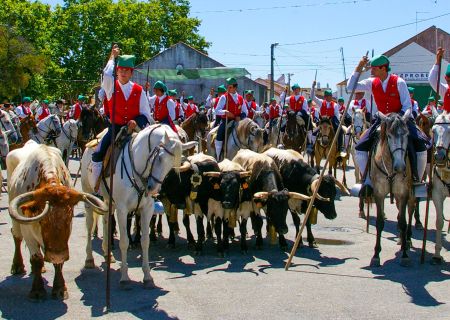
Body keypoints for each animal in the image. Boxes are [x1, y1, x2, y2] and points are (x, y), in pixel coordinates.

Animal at [80, 124, 195, 288]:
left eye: (172, 165)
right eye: (159, 158)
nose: (153, 188)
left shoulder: (147, 209)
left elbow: (145, 241)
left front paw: (147, 276)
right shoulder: (122, 210)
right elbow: (124, 241)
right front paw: (124, 277)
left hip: (108, 201)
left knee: (106, 221)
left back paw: (107, 253)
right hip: (88, 195)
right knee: (90, 225)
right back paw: (89, 259)